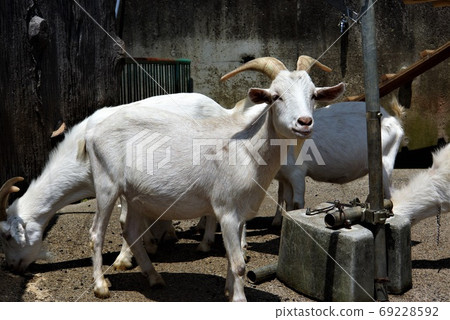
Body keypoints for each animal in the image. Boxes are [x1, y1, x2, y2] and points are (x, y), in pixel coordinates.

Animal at [81, 56, 344, 302]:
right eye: (276, 96)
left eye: (313, 95)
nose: (305, 122)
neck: (247, 149)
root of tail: (92, 132)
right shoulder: (226, 210)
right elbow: (239, 264)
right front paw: (239, 299)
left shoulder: (241, 214)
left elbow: (233, 257)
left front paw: (228, 290)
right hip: (106, 185)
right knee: (96, 234)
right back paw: (101, 286)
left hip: (135, 195)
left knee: (131, 233)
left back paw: (155, 278)